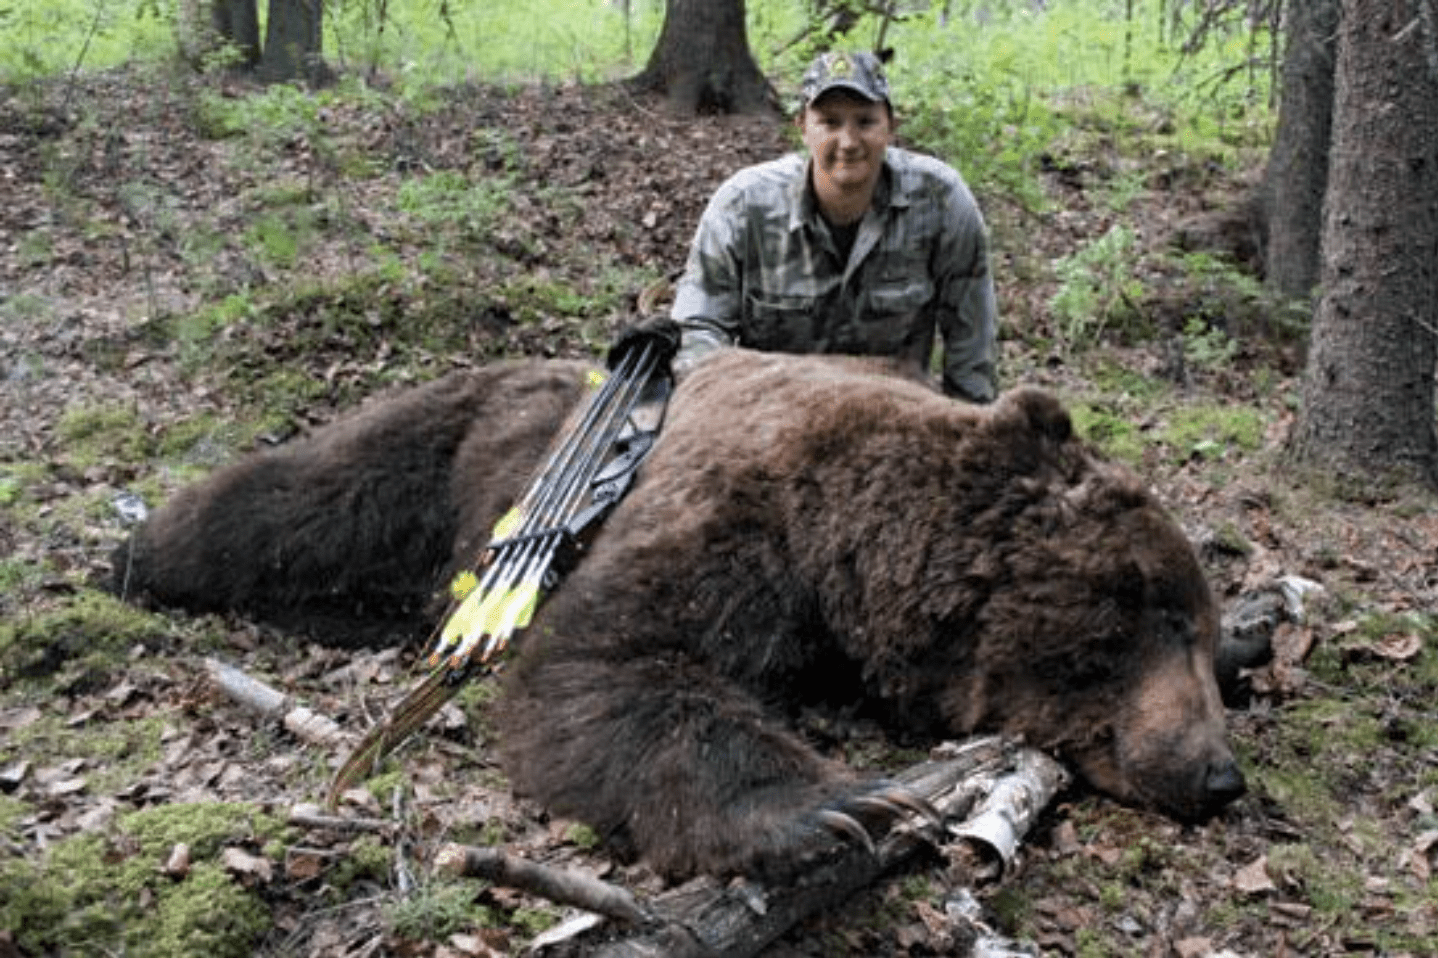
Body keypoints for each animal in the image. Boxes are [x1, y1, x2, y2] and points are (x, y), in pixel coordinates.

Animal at [112, 348, 1245, 880]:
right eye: (1162, 617)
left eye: (1199, 625)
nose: (1219, 774)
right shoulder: (736, 513)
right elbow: (607, 661)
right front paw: (833, 808)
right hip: (450, 444)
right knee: (302, 495)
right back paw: (135, 554)